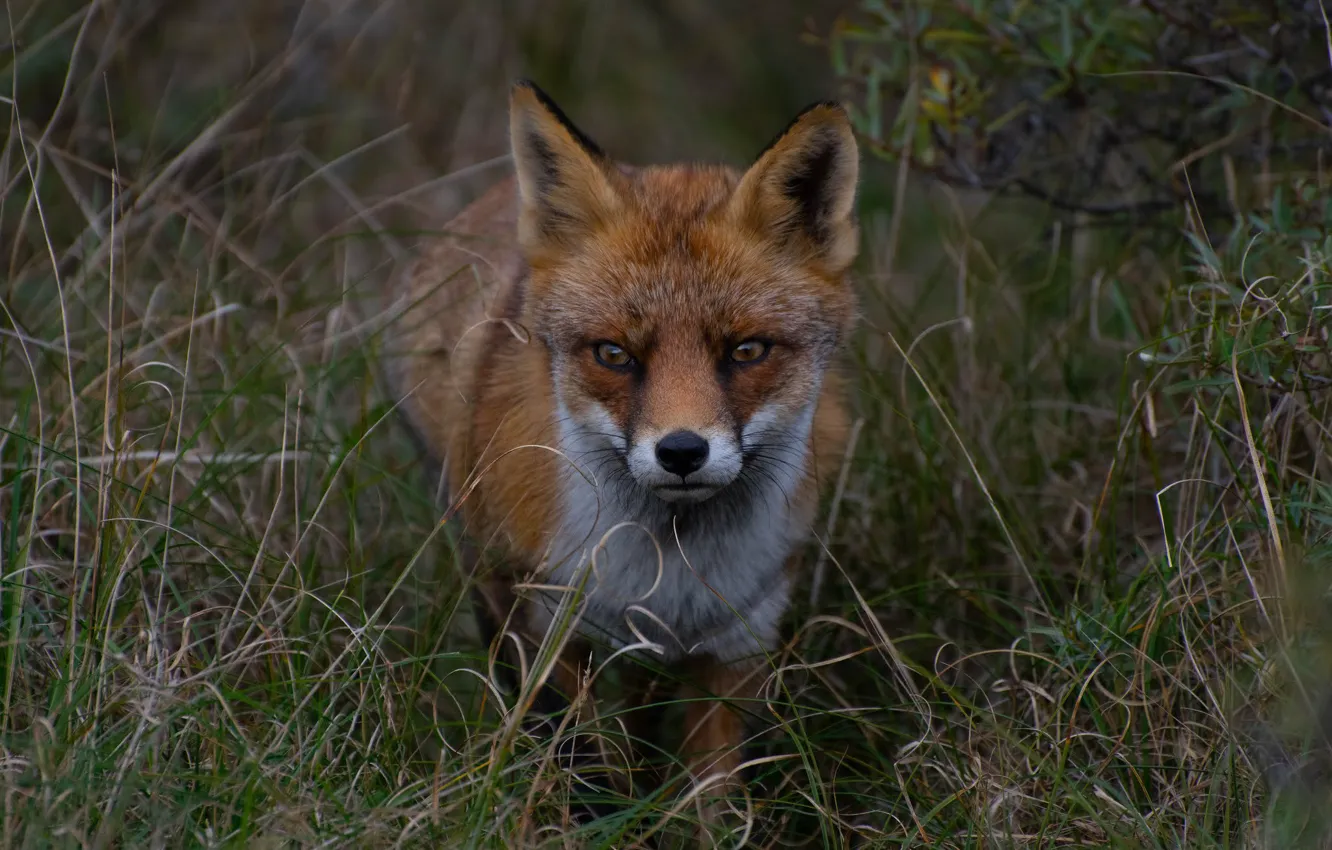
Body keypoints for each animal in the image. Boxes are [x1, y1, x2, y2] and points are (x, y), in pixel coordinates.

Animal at [386, 81, 863, 826]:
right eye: (614, 354)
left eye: (746, 350)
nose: (682, 451)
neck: (670, 573)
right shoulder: (543, 622)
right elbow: (574, 762)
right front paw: (589, 820)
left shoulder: (736, 648)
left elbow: (712, 807)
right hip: (481, 557)